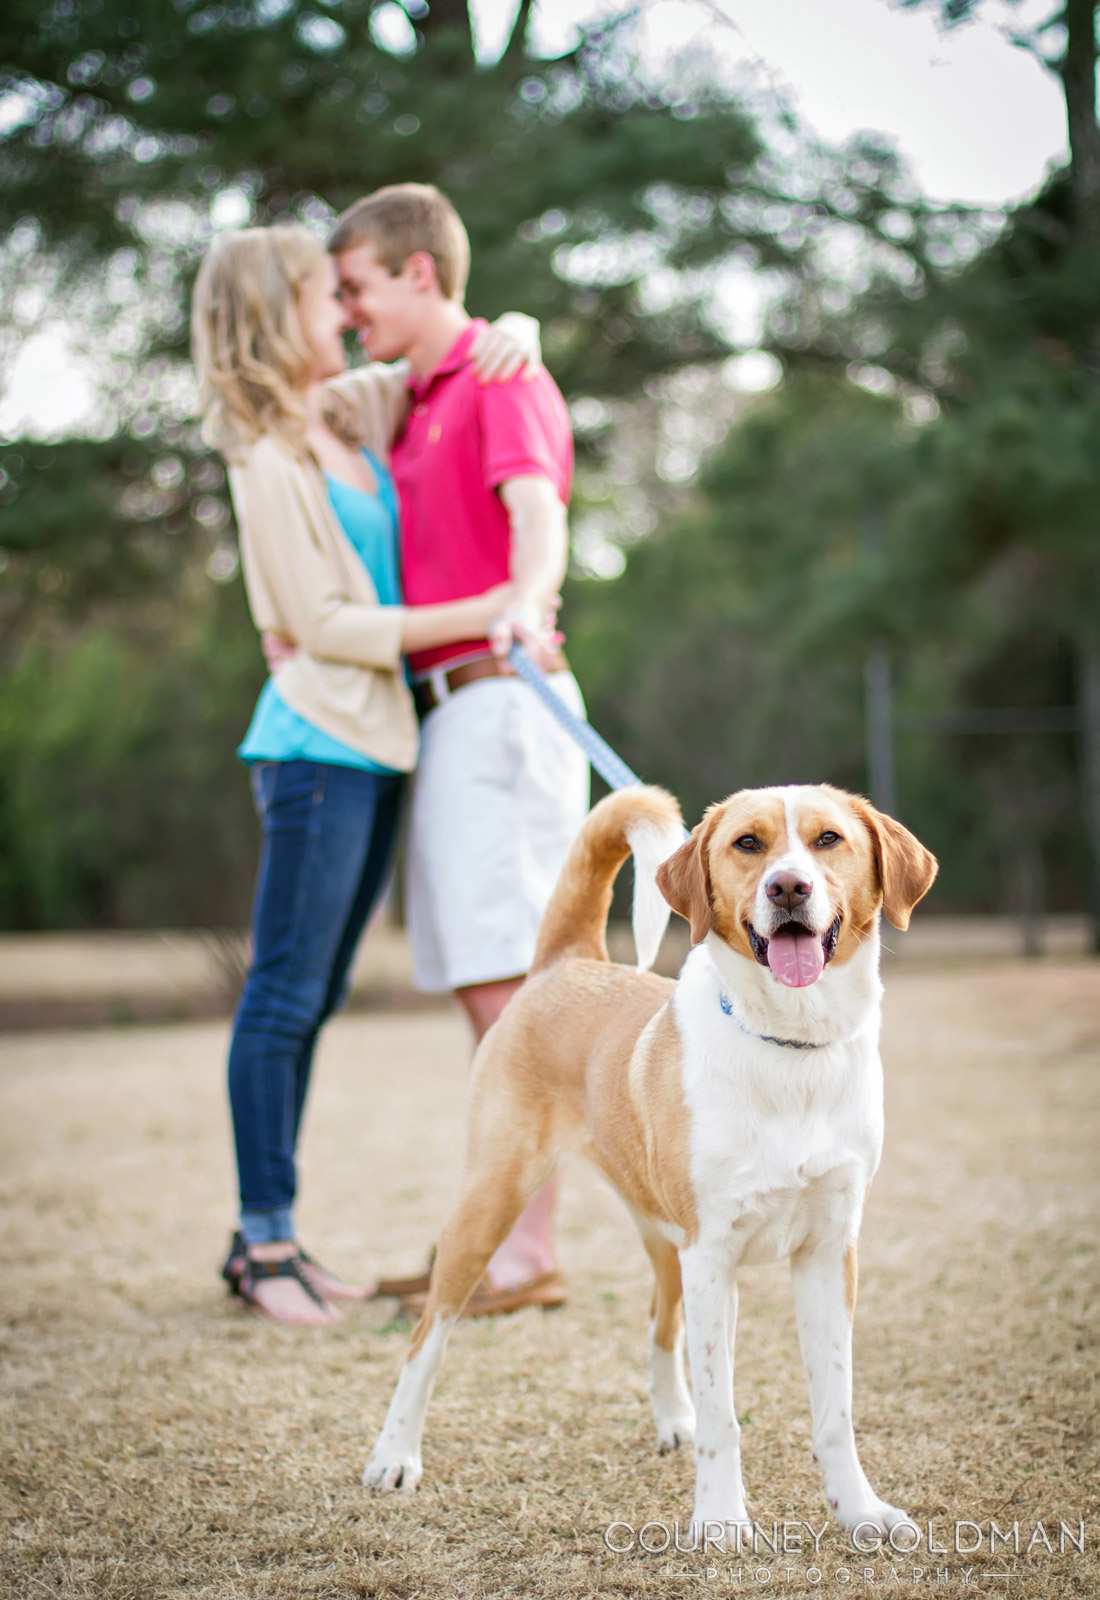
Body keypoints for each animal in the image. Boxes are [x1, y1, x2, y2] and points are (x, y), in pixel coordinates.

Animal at [362, 780, 933, 1542]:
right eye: (747, 843)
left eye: (828, 840)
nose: (788, 886)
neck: (790, 1049)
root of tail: (565, 963)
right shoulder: (713, 1255)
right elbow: (726, 1413)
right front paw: (720, 1519)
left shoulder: (826, 1253)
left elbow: (834, 1408)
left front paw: (859, 1510)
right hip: (489, 1206)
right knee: (427, 1336)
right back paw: (395, 1455)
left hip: (663, 1239)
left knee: (660, 1322)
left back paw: (673, 1419)